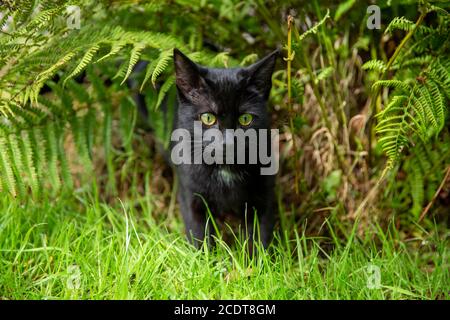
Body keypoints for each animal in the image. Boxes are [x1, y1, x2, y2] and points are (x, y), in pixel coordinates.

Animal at [171, 49, 278, 248]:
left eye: (245, 119)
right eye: (207, 118)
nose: (228, 143)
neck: (225, 170)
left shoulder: (264, 197)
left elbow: (258, 238)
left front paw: (256, 256)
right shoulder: (191, 197)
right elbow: (200, 238)